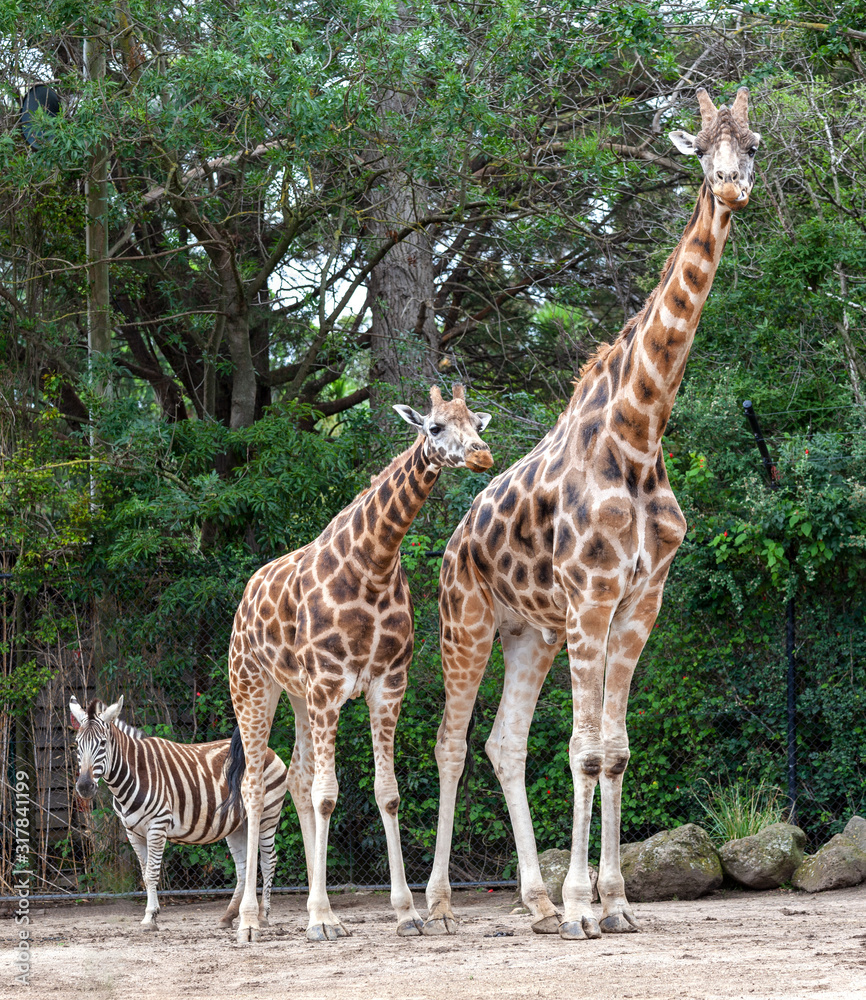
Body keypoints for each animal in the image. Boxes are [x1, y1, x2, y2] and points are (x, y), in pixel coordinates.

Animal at [229, 384, 493, 943]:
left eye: (474, 422)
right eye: (434, 426)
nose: (482, 454)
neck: (373, 564)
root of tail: (244, 599)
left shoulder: (386, 685)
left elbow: (385, 793)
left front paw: (406, 912)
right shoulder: (330, 685)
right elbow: (330, 794)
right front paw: (321, 919)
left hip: (298, 695)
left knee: (299, 779)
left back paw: (313, 907)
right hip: (253, 685)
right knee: (253, 786)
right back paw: (251, 922)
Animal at [423, 87, 761, 940]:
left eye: (753, 145)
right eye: (699, 147)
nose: (732, 186)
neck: (640, 435)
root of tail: (453, 541)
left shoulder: (640, 601)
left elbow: (614, 748)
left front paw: (613, 902)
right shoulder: (591, 598)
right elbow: (580, 749)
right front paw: (584, 906)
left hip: (529, 634)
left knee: (502, 744)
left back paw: (535, 902)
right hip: (466, 624)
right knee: (449, 741)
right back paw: (436, 906)